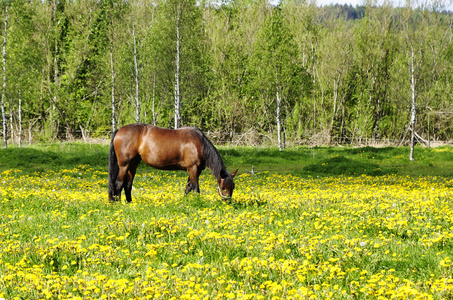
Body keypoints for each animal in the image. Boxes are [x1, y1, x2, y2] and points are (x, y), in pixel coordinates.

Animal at [108, 123, 238, 203]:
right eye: (223, 187)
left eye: (233, 187)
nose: (227, 202)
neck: (200, 144)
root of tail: (119, 130)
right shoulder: (193, 169)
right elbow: (195, 188)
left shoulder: (195, 171)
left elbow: (188, 187)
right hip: (124, 166)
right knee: (118, 184)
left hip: (133, 165)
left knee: (127, 185)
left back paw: (130, 203)